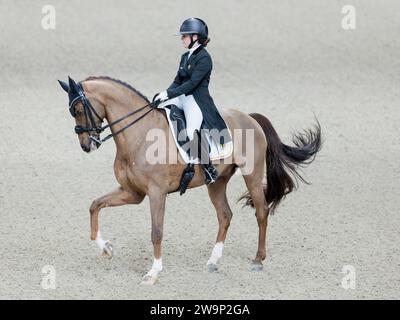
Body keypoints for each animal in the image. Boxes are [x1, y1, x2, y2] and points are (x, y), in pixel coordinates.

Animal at [57, 75, 322, 284]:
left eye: (78, 110)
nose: (87, 146)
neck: (140, 134)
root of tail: (249, 117)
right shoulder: (133, 193)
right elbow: (95, 205)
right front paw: (106, 247)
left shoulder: (156, 193)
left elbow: (156, 231)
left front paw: (153, 273)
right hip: (217, 182)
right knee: (225, 215)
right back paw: (213, 261)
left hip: (252, 175)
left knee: (261, 212)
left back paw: (258, 260)